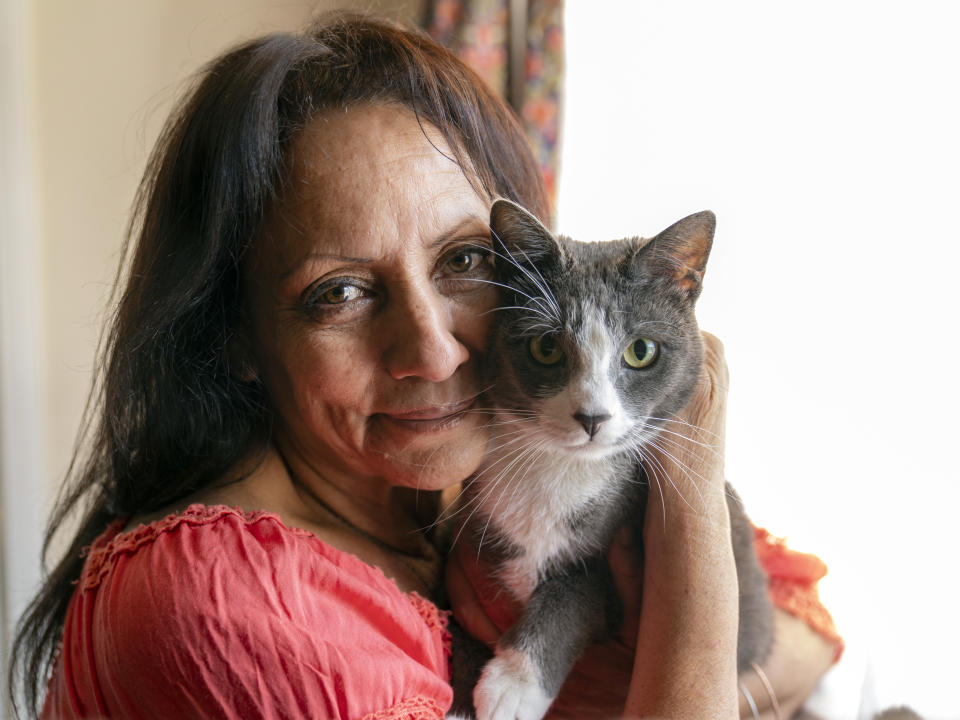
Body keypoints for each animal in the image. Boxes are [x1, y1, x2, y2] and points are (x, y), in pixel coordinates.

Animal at [448, 198, 772, 720]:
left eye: (641, 351)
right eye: (546, 347)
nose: (593, 416)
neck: (560, 468)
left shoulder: (614, 557)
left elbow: (575, 593)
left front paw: (513, 686)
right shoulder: (473, 535)